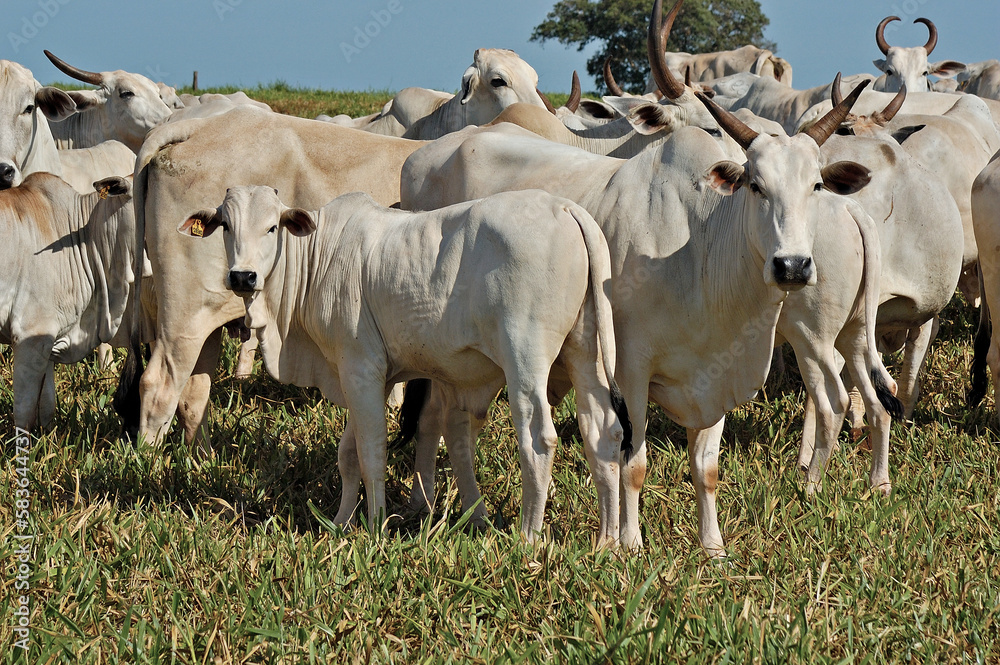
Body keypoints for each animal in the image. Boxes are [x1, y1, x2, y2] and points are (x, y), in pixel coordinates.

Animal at [179, 184, 628, 544]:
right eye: (225, 226)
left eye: (273, 227)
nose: (243, 277)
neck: (318, 258)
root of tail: (565, 208)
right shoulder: (364, 376)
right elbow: (348, 454)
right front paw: (340, 522)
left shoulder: (360, 368)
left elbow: (371, 451)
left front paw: (375, 525)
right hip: (585, 351)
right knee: (603, 431)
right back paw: (608, 541)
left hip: (525, 359)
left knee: (538, 439)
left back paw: (528, 538)